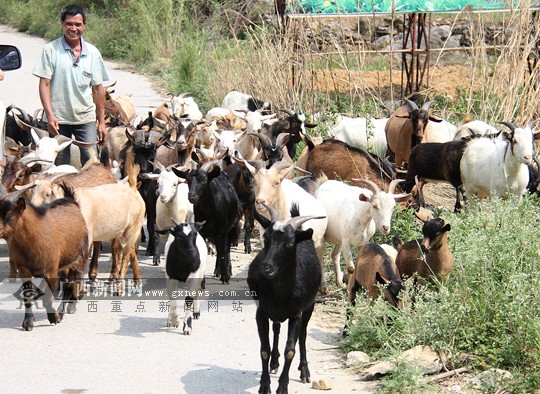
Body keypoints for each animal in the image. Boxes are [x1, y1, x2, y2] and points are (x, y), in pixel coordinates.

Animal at [0, 185, 88, 330]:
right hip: (63, 266)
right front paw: (28, 322)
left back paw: (66, 309)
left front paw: (54, 318)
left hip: (78, 259)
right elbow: (28, 295)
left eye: (10, 214)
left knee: (71, 283)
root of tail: (71, 200)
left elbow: (48, 298)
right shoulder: (24, 270)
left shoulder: (51, 270)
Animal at [248, 203, 322, 394]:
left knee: (303, 335)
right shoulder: (261, 312)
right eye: (266, 238)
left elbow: (290, 350)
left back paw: (304, 371)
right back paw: (274, 362)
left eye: (289, 243)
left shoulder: (296, 314)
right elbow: (264, 350)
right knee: (276, 328)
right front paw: (264, 385)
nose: (266, 266)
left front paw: (282, 386)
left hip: (310, 306)